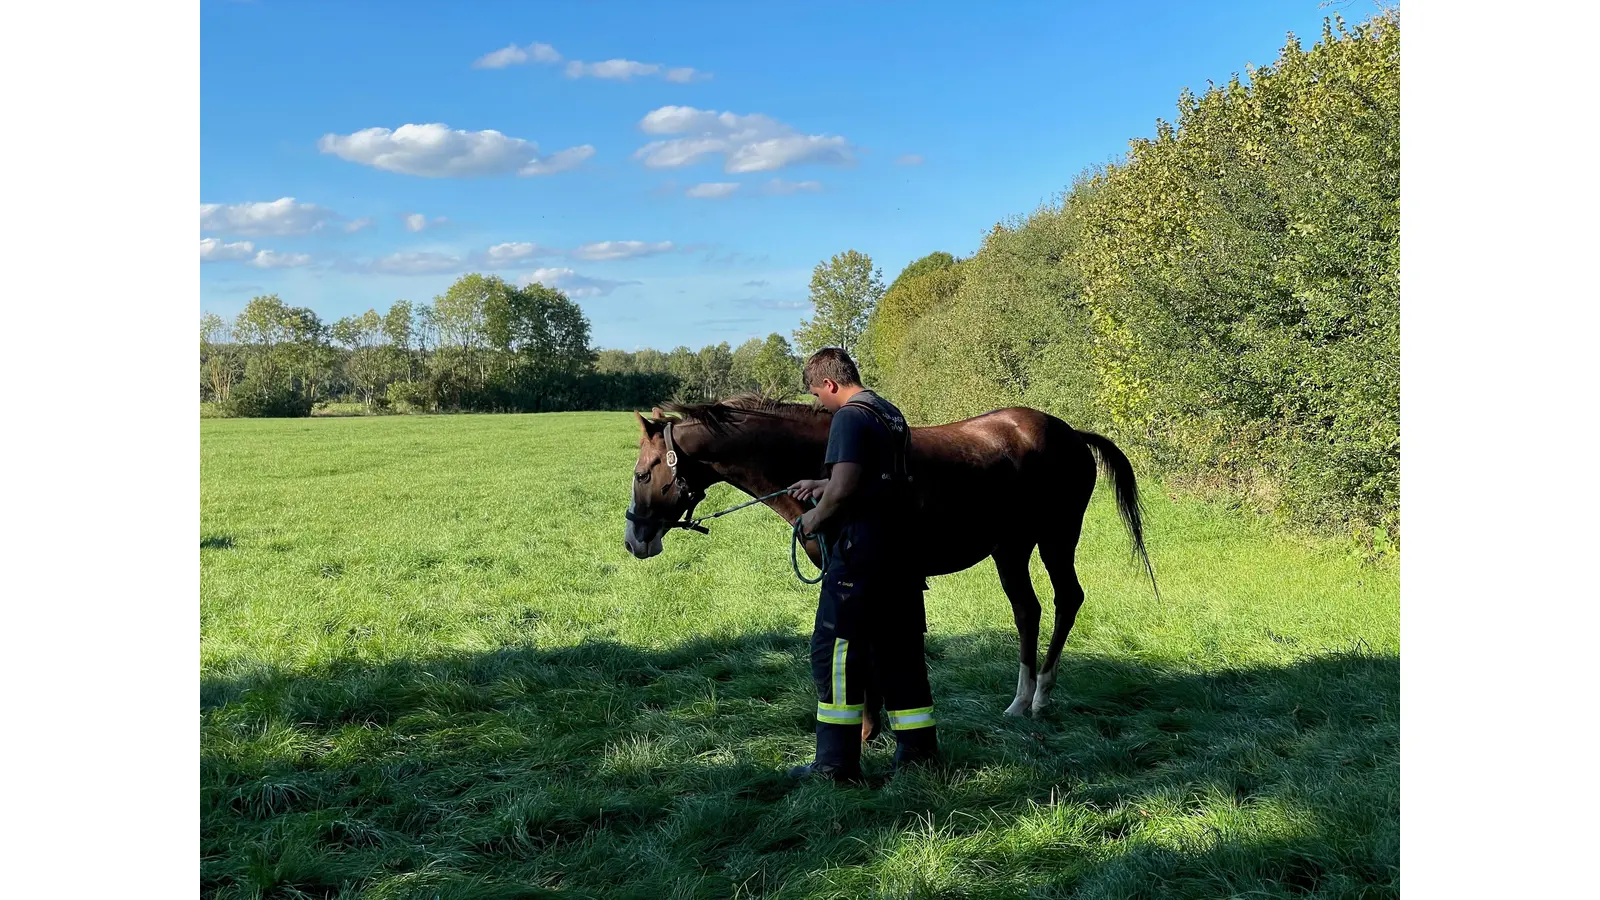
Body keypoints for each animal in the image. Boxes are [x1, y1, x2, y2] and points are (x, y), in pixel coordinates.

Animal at [617, 390, 1158, 720]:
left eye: (643, 474)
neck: (820, 460)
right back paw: (1021, 700)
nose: (635, 539)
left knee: (1066, 601)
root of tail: (1071, 434)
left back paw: (1041, 695)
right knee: (1030, 610)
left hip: (1055, 539)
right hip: (1012, 549)